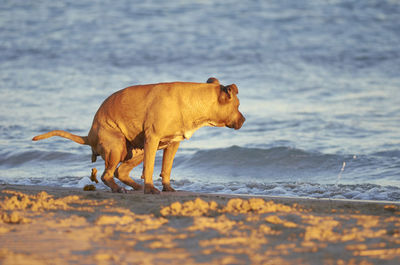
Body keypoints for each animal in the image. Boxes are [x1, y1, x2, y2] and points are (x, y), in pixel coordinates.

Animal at [32, 77, 244, 193]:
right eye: (238, 105)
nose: (244, 120)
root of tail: (90, 134)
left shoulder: (171, 144)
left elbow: (166, 168)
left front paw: (166, 187)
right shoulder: (153, 139)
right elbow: (149, 169)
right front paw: (150, 189)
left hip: (136, 151)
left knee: (120, 172)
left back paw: (135, 187)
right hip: (118, 146)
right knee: (107, 174)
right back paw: (120, 189)